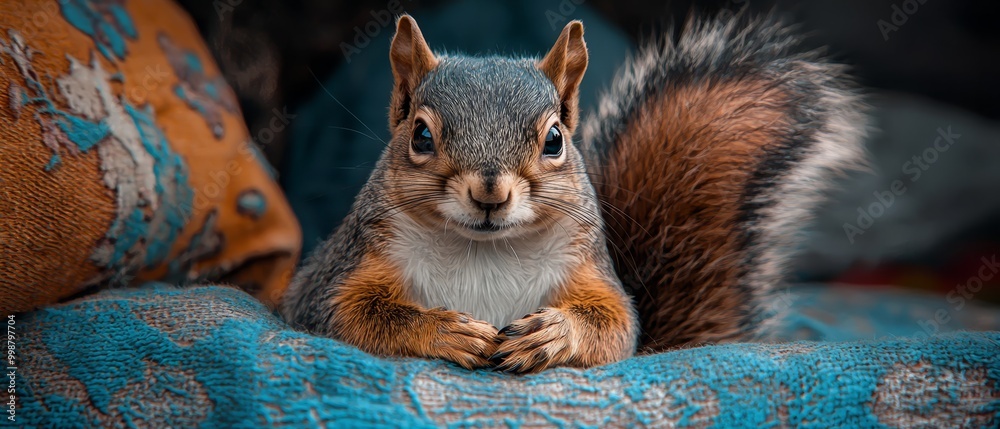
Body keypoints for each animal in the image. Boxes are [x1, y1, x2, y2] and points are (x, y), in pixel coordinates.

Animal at [282, 10, 868, 372]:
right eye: (421, 136)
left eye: (555, 139)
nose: (490, 195)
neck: (484, 250)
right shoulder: (340, 273)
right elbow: (348, 318)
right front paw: (443, 331)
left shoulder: (589, 268)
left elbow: (616, 327)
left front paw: (556, 335)